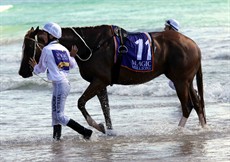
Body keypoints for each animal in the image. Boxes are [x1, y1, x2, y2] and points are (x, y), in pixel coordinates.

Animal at [18, 24, 206, 134]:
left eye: (28, 45)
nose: (22, 71)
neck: (92, 45)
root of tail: (194, 45)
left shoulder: (99, 81)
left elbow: (81, 102)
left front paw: (98, 126)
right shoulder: (100, 83)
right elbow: (106, 109)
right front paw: (108, 130)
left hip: (180, 81)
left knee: (187, 107)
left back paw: (178, 130)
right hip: (186, 81)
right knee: (197, 103)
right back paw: (203, 127)